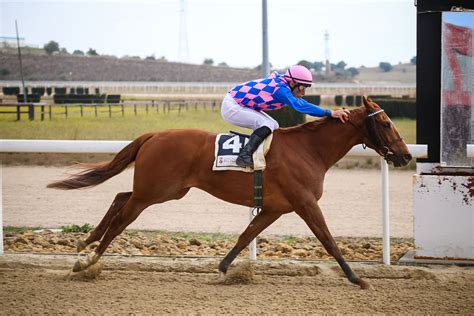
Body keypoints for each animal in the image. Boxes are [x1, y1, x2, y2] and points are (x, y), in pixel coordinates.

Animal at [47, 96, 412, 288]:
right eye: (385, 123)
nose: (406, 155)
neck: (310, 149)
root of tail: (154, 134)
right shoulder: (305, 202)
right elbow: (328, 240)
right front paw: (357, 278)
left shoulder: (275, 207)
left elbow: (245, 234)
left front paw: (224, 268)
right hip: (155, 191)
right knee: (123, 216)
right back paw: (88, 259)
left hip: (165, 190)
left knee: (120, 197)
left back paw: (86, 241)